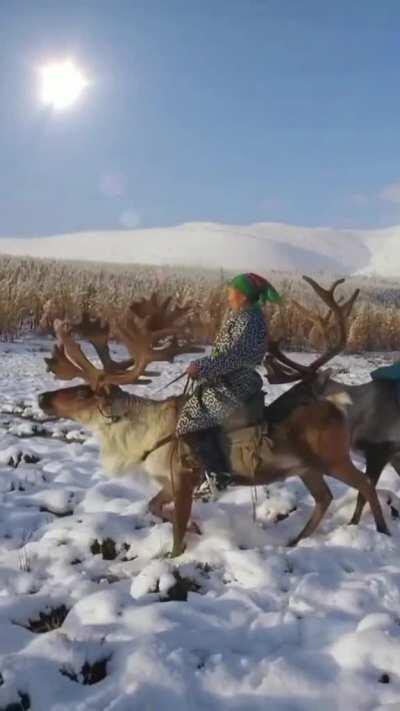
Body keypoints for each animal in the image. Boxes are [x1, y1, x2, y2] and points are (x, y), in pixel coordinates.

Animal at [37, 285, 390, 557]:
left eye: (83, 393)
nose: (42, 398)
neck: (143, 436)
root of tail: (337, 405)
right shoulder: (167, 482)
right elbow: (154, 507)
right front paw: (196, 528)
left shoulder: (184, 477)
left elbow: (177, 531)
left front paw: (177, 552)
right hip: (306, 467)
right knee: (324, 497)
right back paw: (297, 540)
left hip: (334, 458)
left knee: (365, 483)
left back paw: (379, 530)